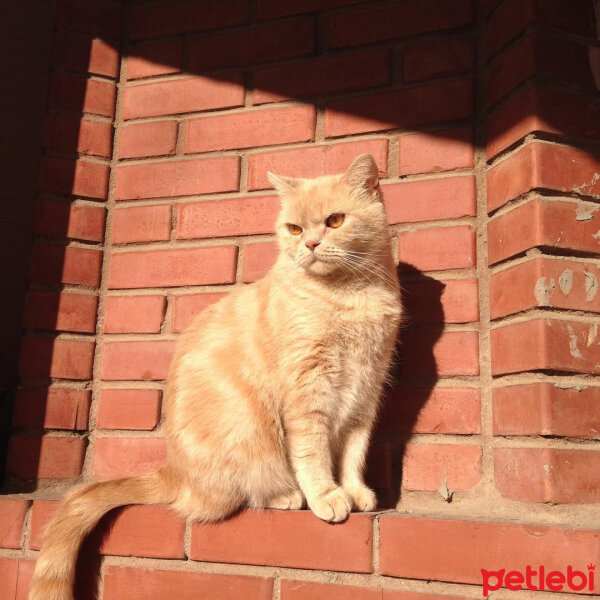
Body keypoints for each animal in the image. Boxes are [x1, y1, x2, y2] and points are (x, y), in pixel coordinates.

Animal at [29, 154, 404, 600]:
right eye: (294, 229)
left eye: (335, 220)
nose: (309, 244)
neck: (348, 297)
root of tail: (172, 471)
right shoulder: (307, 395)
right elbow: (313, 453)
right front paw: (327, 495)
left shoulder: (366, 392)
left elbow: (353, 453)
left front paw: (355, 490)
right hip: (248, 432)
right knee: (234, 497)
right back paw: (287, 495)